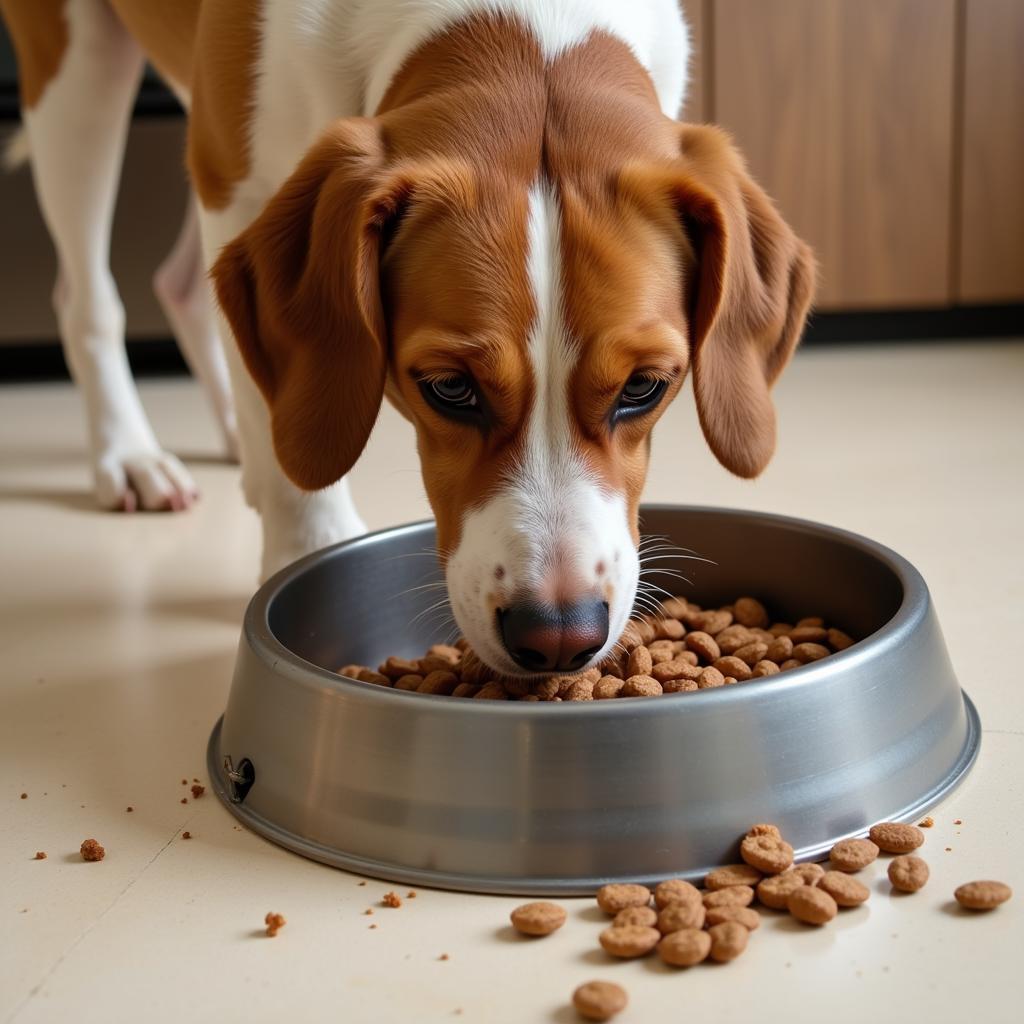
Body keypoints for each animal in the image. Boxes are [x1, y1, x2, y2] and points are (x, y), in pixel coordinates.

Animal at [2, 2, 815, 679]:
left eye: (644, 386)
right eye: (449, 388)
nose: (558, 636)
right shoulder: (238, 185)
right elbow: (301, 478)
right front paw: (305, 549)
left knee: (184, 286)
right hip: (78, 68)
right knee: (87, 295)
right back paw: (130, 455)